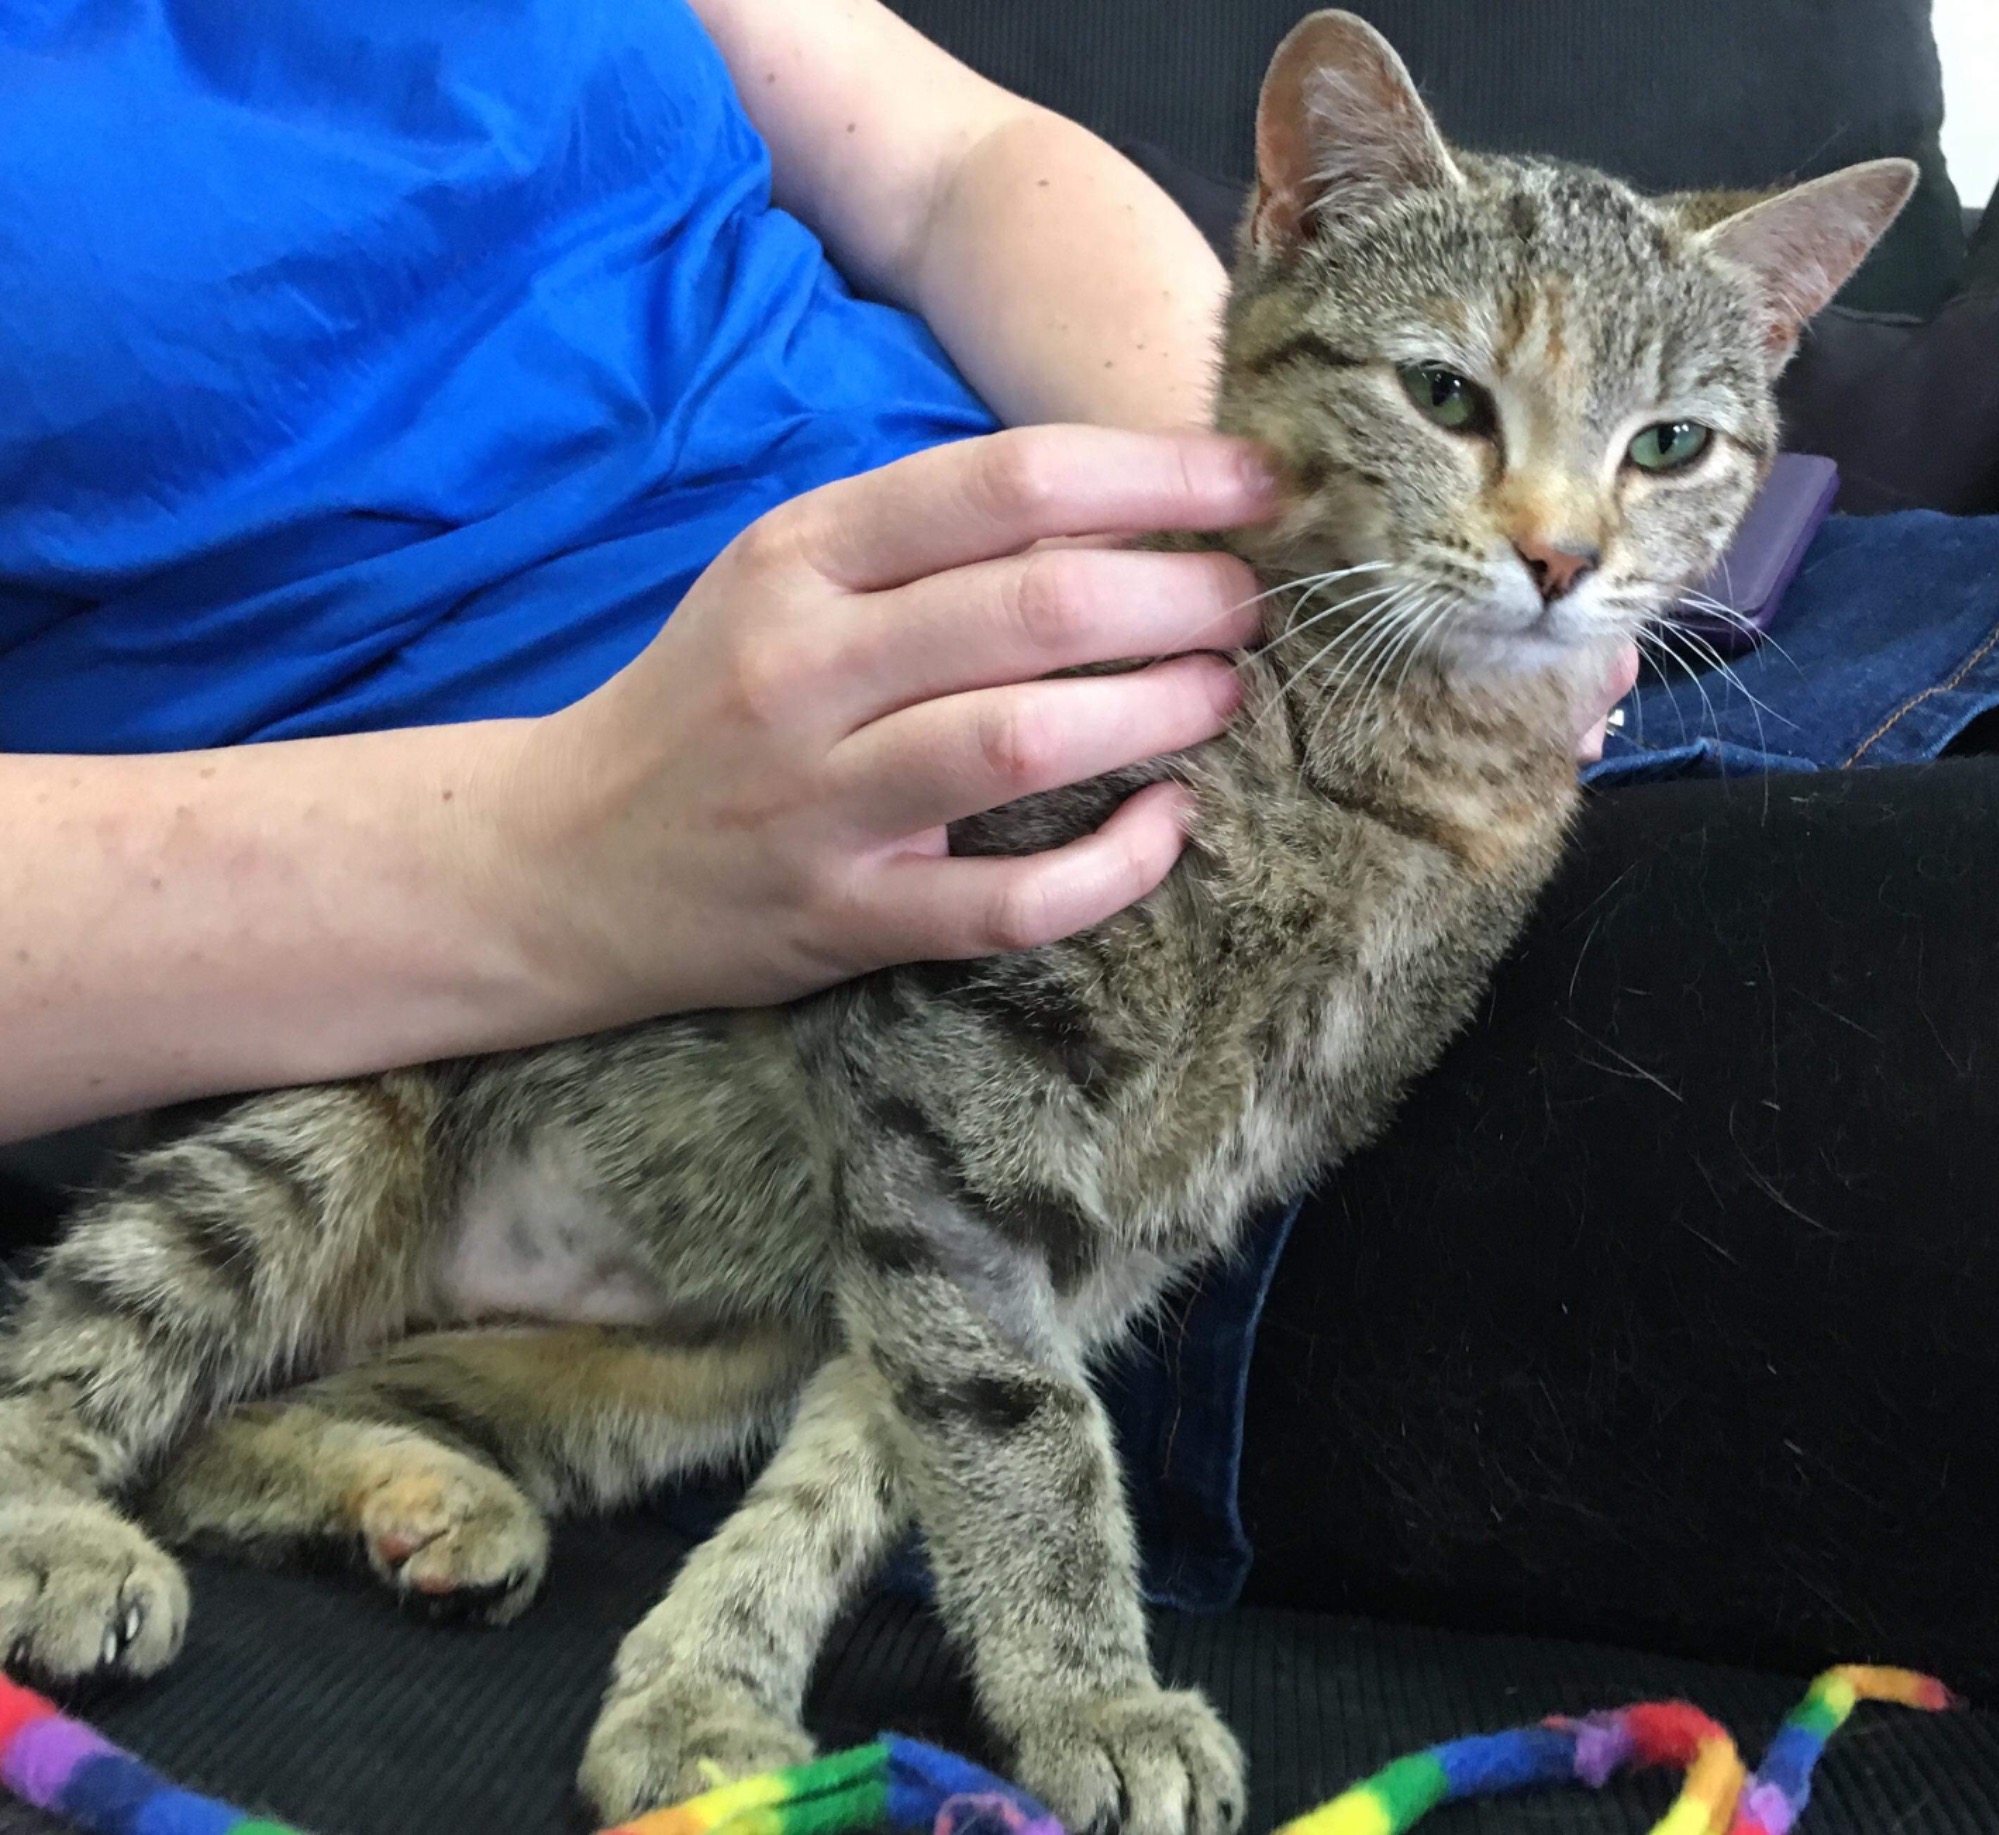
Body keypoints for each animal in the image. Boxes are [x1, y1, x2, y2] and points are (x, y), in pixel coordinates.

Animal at [0, 14, 1910, 1835]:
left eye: (1666, 443)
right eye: (1442, 393)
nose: (1558, 559)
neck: (1395, 757)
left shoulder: (1142, 1199)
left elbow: (882, 1445)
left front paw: (713, 1687)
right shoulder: (966, 1071)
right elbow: (1012, 1421)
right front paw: (1086, 1696)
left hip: (656, 1368)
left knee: (243, 1427)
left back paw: (426, 1491)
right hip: (314, 1141)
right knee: (89, 1347)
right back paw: (61, 1529)